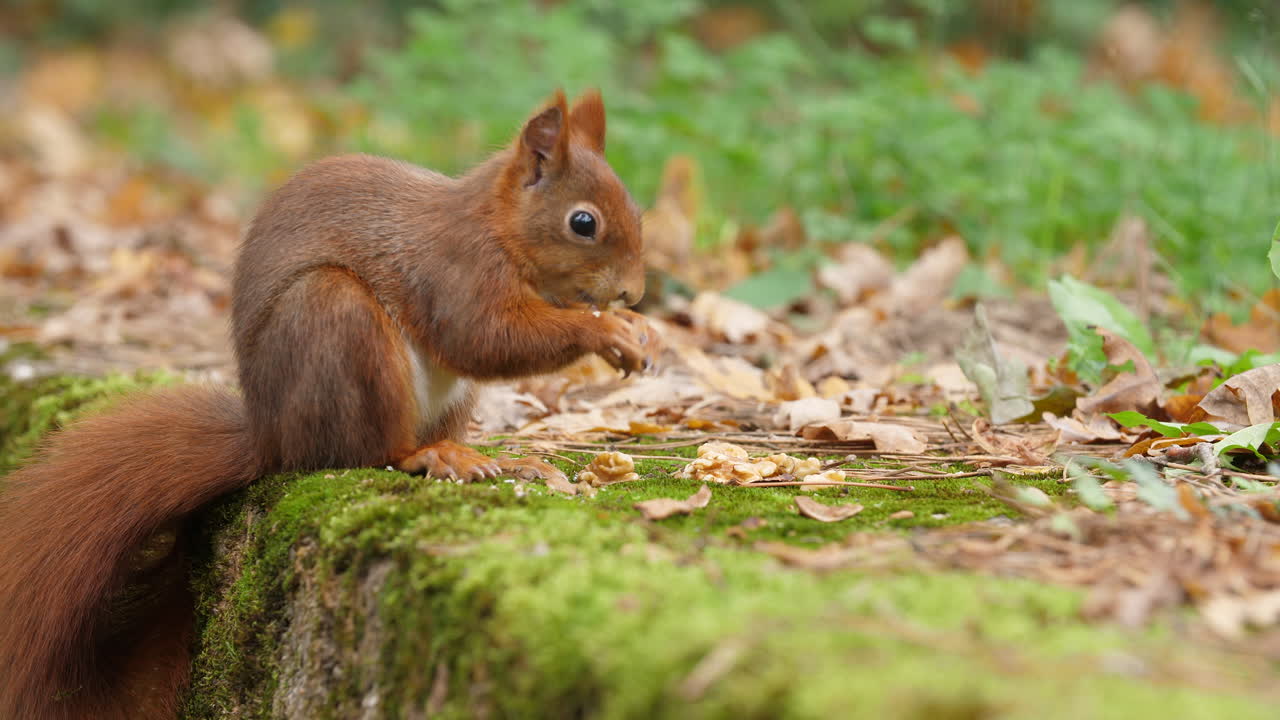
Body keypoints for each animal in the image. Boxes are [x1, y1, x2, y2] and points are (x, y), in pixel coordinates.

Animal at [0, 89, 661, 720]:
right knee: (370, 450)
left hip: (442, 394)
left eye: (635, 210)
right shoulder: (454, 272)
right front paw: (606, 331)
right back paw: (430, 458)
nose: (634, 294)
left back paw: (497, 458)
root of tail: (270, 436)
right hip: (336, 321)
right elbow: (483, 337)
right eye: (583, 222)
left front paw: (637, 331)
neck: (497, 225)